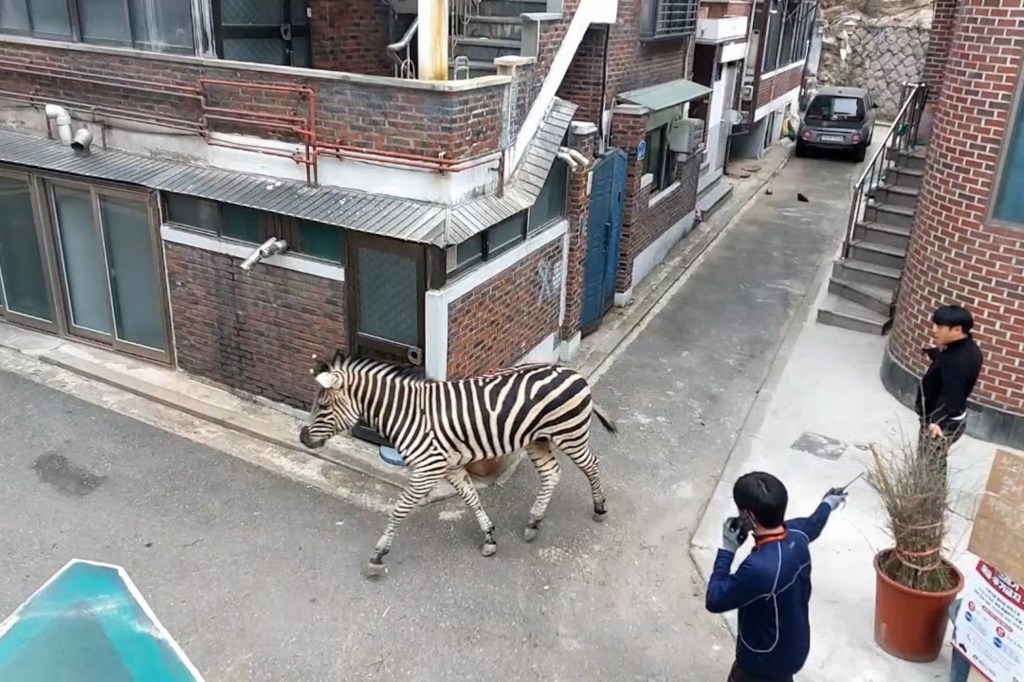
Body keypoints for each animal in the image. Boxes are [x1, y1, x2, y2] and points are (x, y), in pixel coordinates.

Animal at [296, 348, 614, 577]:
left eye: (323, 405)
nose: (302, 437)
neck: (407, 414)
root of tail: (571, 371)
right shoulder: (450, 466)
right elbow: (471, 498)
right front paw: (489, 537)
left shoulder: (427, 469)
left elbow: (399, 510)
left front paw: (378, 555)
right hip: (538, 439)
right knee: (552, 474)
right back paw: (534, 521)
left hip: (569, 434)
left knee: (592, 464)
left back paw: (599, 507)